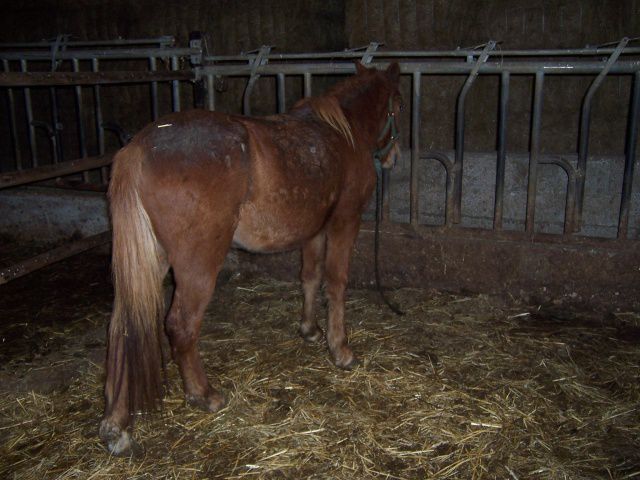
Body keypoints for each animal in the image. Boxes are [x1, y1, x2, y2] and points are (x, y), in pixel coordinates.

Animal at [99, 62, 402, 455]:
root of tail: (136, 149)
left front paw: (310, 330)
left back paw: (115, 425)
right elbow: (336, 283)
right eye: (399, 104)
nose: (394, 157)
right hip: (196, 267)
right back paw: (204, 395)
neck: (342, 134)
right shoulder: (344, 223)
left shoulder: (314, 231)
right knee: (180, 326)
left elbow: (310, 277)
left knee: (122, 328)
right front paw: (341, 350)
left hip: (149, 262)